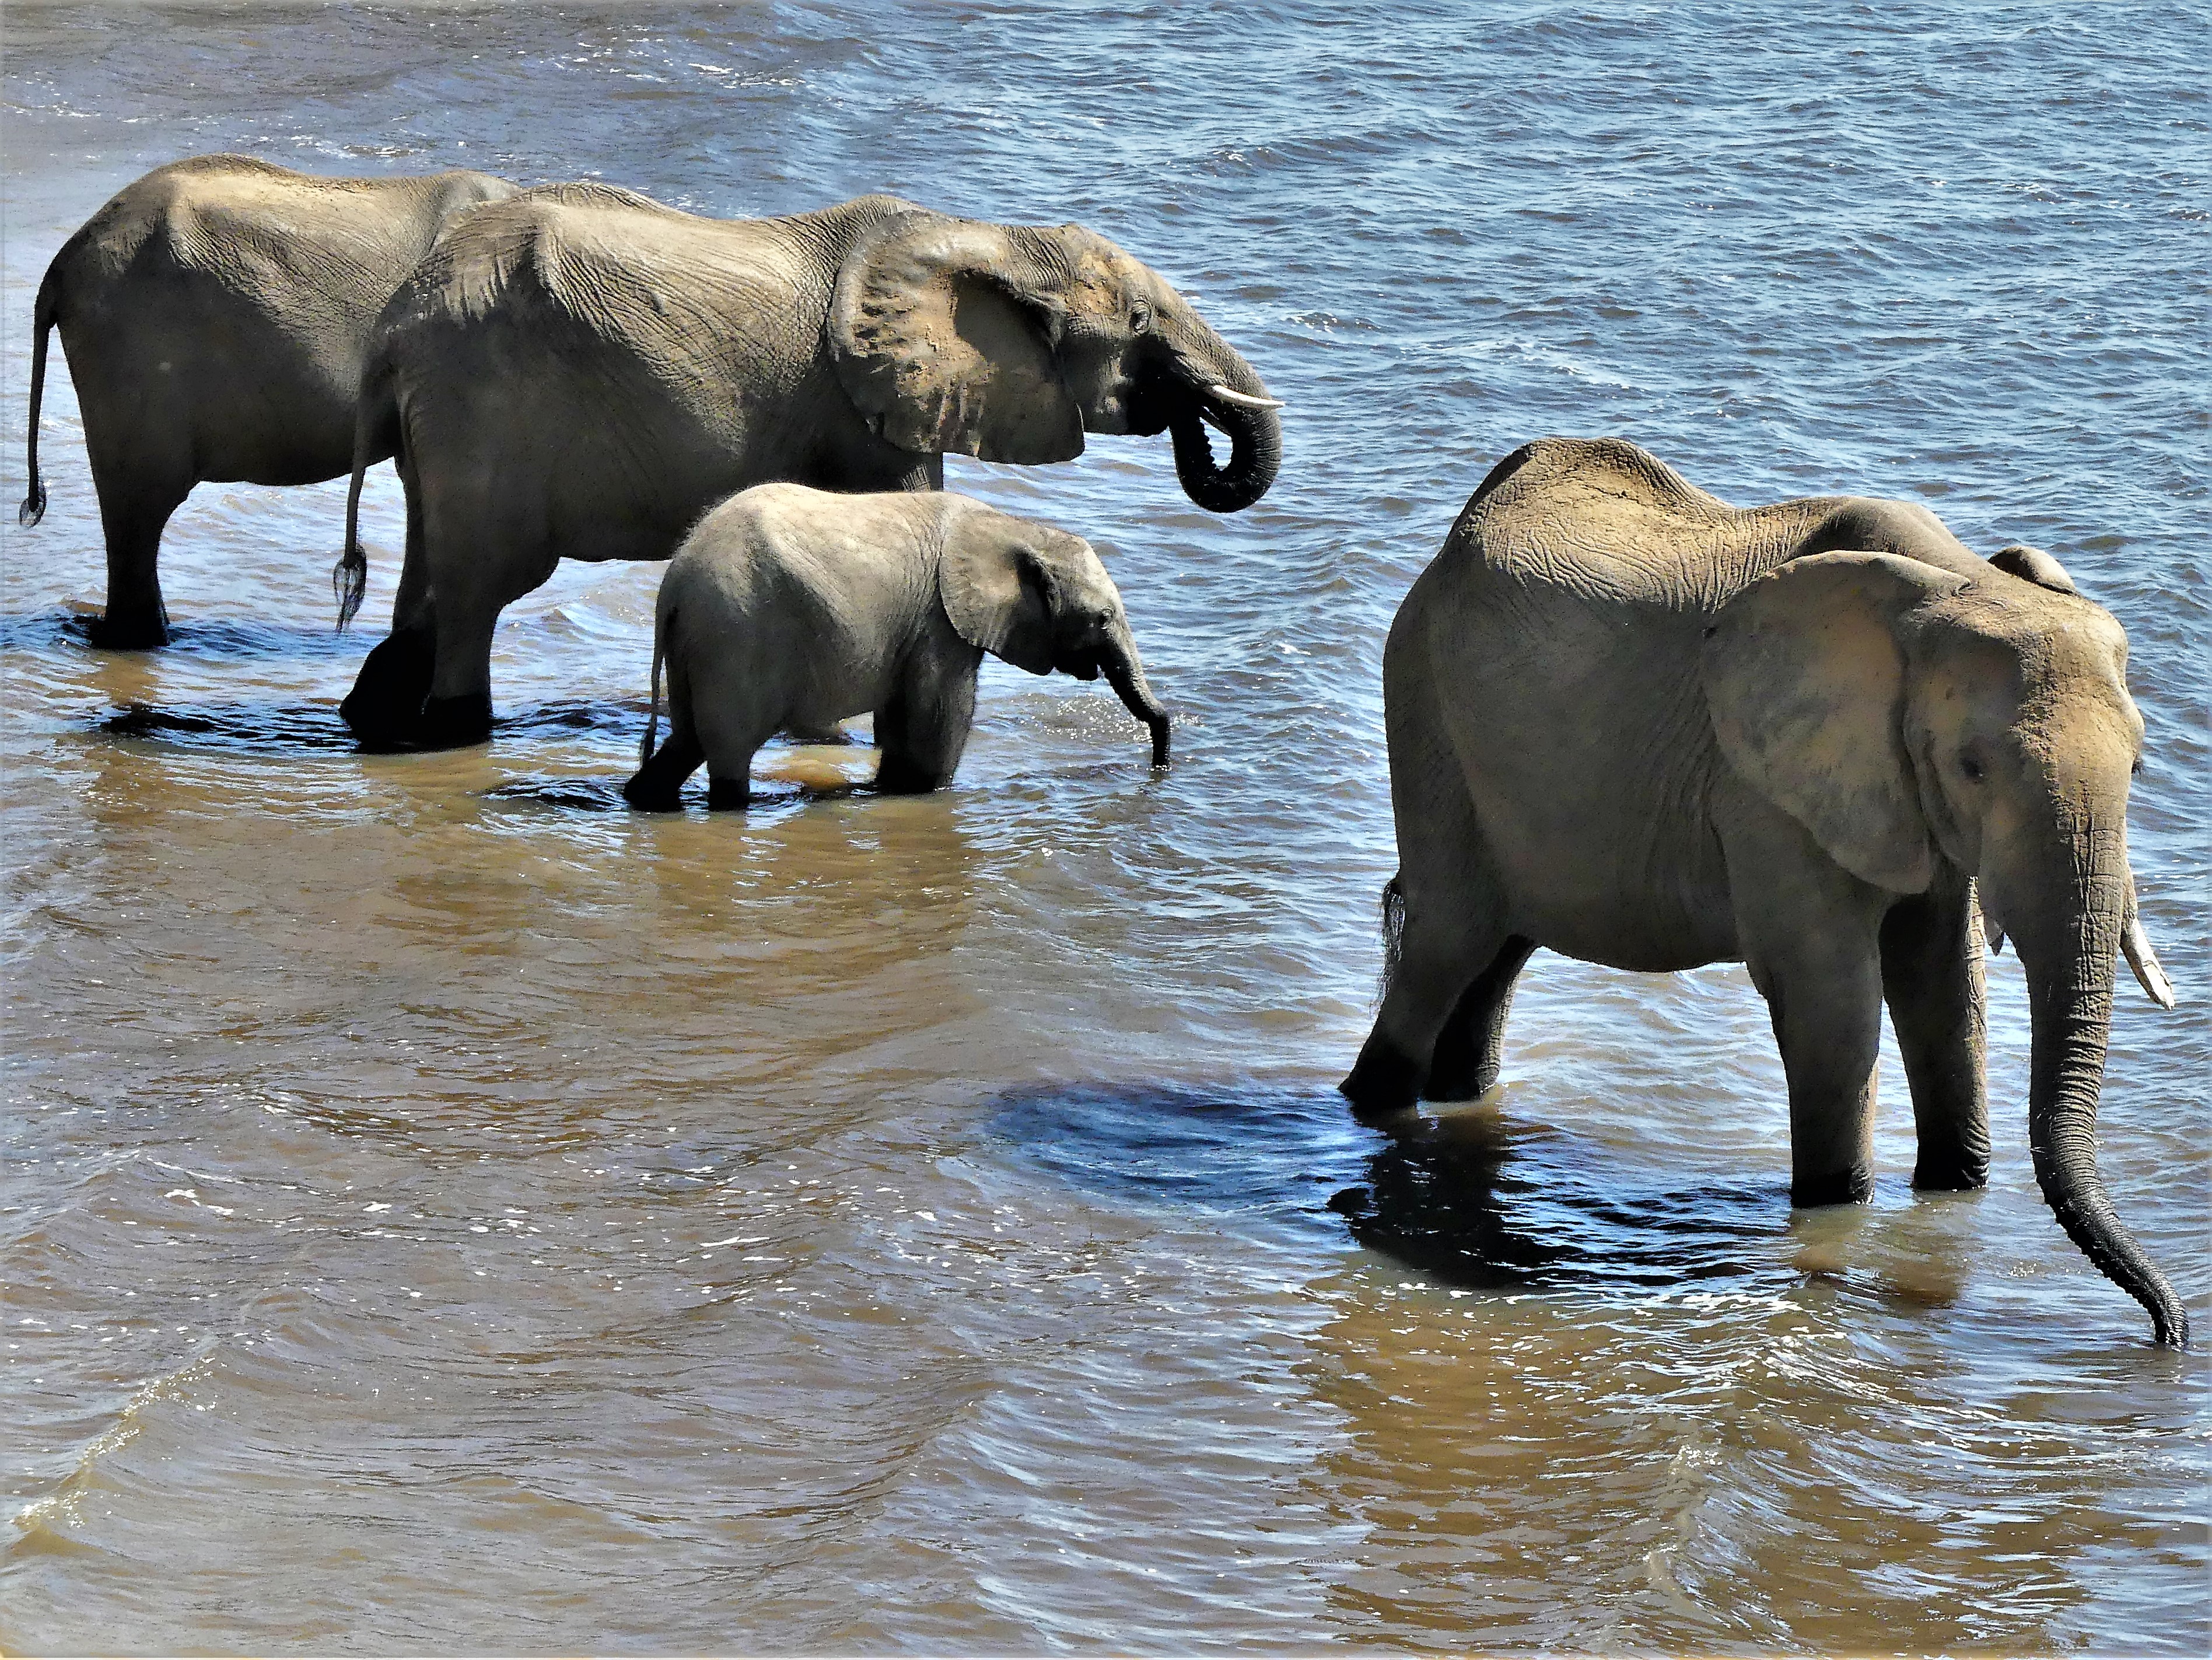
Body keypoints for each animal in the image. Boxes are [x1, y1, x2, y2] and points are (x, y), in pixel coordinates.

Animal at [331, 184, 1282, 750]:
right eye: (1138, 322)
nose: (1187, 410)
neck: (986, 239)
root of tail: (393, 326)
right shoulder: (870, 402)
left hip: (446, 418)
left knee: (432, 580)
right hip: (486, 404)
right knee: (482, 590)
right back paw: (458, 734)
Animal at [622, 484, 1169, 809]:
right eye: (1102, 618)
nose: (1160, 767)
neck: (1019, 528)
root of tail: (672, 589)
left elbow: (905, 718)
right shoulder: (939, 621)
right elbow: (938, 719)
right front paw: (929, 793)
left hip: (701, 645)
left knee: (689, 739)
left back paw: (645, 799)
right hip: (735, 636)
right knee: (728, 752)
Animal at [1340, 437, 2186, 1346]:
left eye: (2139, 766)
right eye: (1973, 767)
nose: (2167, 1333)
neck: (1956, 582)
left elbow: (1945, 989)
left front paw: (1955, 1188)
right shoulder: (1766, 785)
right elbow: (1833, 1001)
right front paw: (1837, 1211)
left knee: (1498, 952)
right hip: (1425, 712)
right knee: (1447, 944)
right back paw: (1374, 1105)